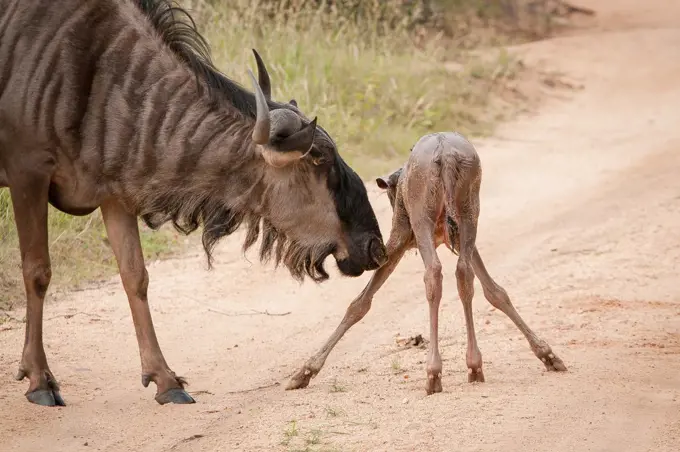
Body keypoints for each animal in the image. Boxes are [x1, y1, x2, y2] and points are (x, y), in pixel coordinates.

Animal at [286, 132, 568, 396]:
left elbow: (360, 303)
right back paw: (474, 365)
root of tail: (445, 154)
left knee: (433, 273)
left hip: (422, 220)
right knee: (464, 273)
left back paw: (434, 373)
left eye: (391, 195)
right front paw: (547, 354)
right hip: (469, 214)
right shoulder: (457, 239)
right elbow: (495, 292)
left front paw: (306, 370)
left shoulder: (400, 236)